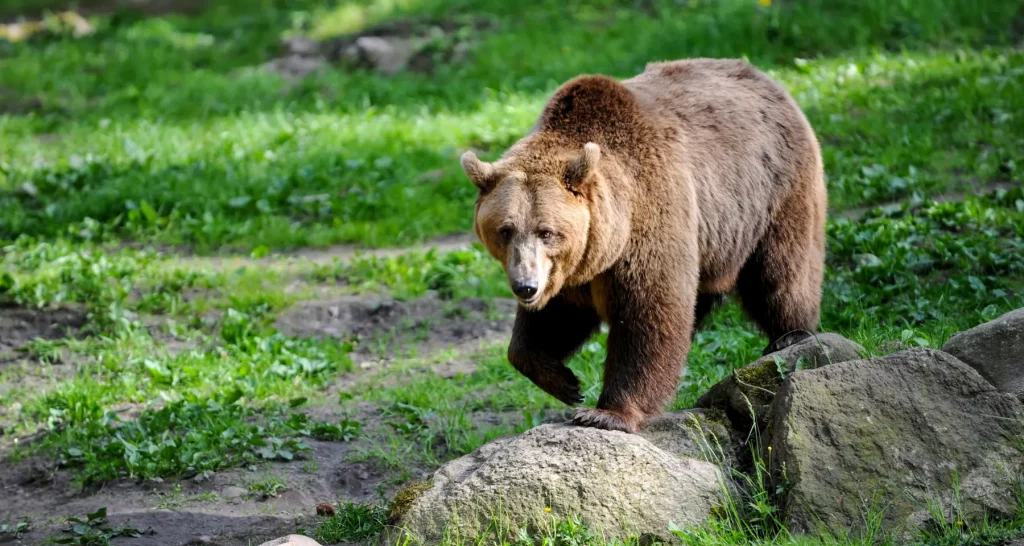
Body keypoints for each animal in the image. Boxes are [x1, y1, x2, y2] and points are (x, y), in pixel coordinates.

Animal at [459, 58, 827, 433]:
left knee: (780, 271)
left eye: (546, 231)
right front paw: (565, 382)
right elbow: (551, 321)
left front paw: (605, 412)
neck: (609, 238)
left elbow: (649, 315)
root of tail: (765, 78)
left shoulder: (649, 218)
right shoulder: (570, 269)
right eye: (505, 230)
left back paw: (791, 334)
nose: (525, 286)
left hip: (773, 192)